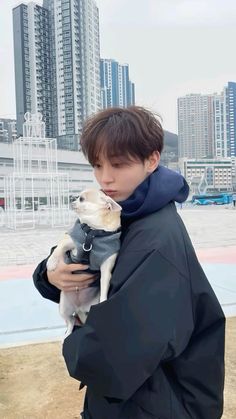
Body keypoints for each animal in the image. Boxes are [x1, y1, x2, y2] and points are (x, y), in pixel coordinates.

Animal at [46, 189, 121, 338]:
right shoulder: (69, 239)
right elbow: (58, 249)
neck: (93, 233)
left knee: (73, 320)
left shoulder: (106, 266)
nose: (71, 198)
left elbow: (104, 284)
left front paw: (103, 300)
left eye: (81, 199)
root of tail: (79, 307)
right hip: (63, 308)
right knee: (70, 322)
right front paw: (51, 263)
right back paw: (66, 336)